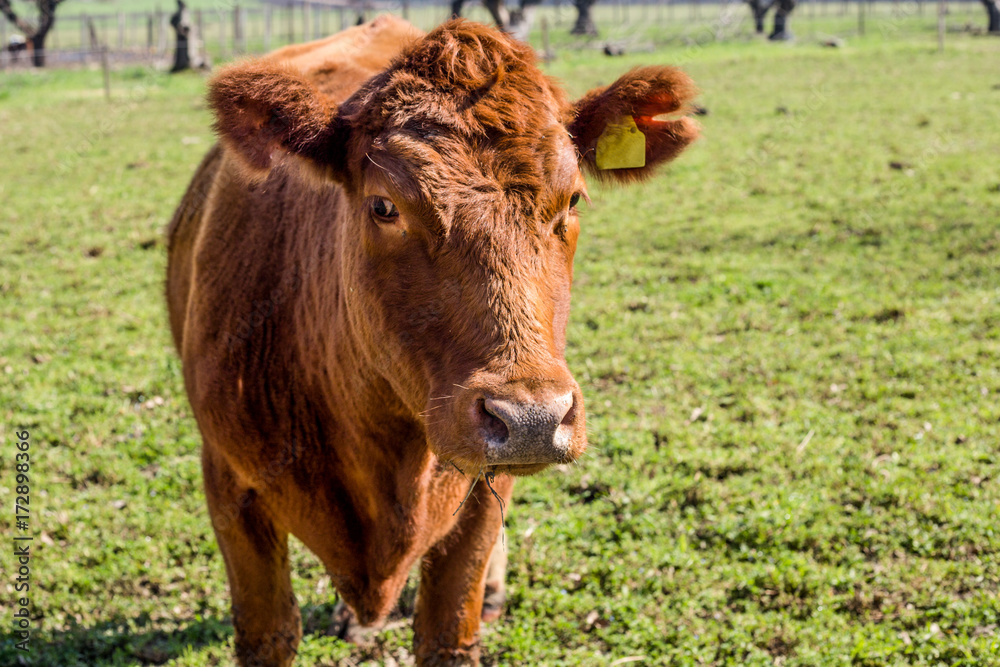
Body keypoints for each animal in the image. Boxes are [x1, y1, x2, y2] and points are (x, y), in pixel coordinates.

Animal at [166, 15, 696, 667]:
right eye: (383, 205)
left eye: (572, 199)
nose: (532, 418)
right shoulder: (229, 484)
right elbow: (269, 635)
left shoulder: (478, 500)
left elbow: (449, 631)